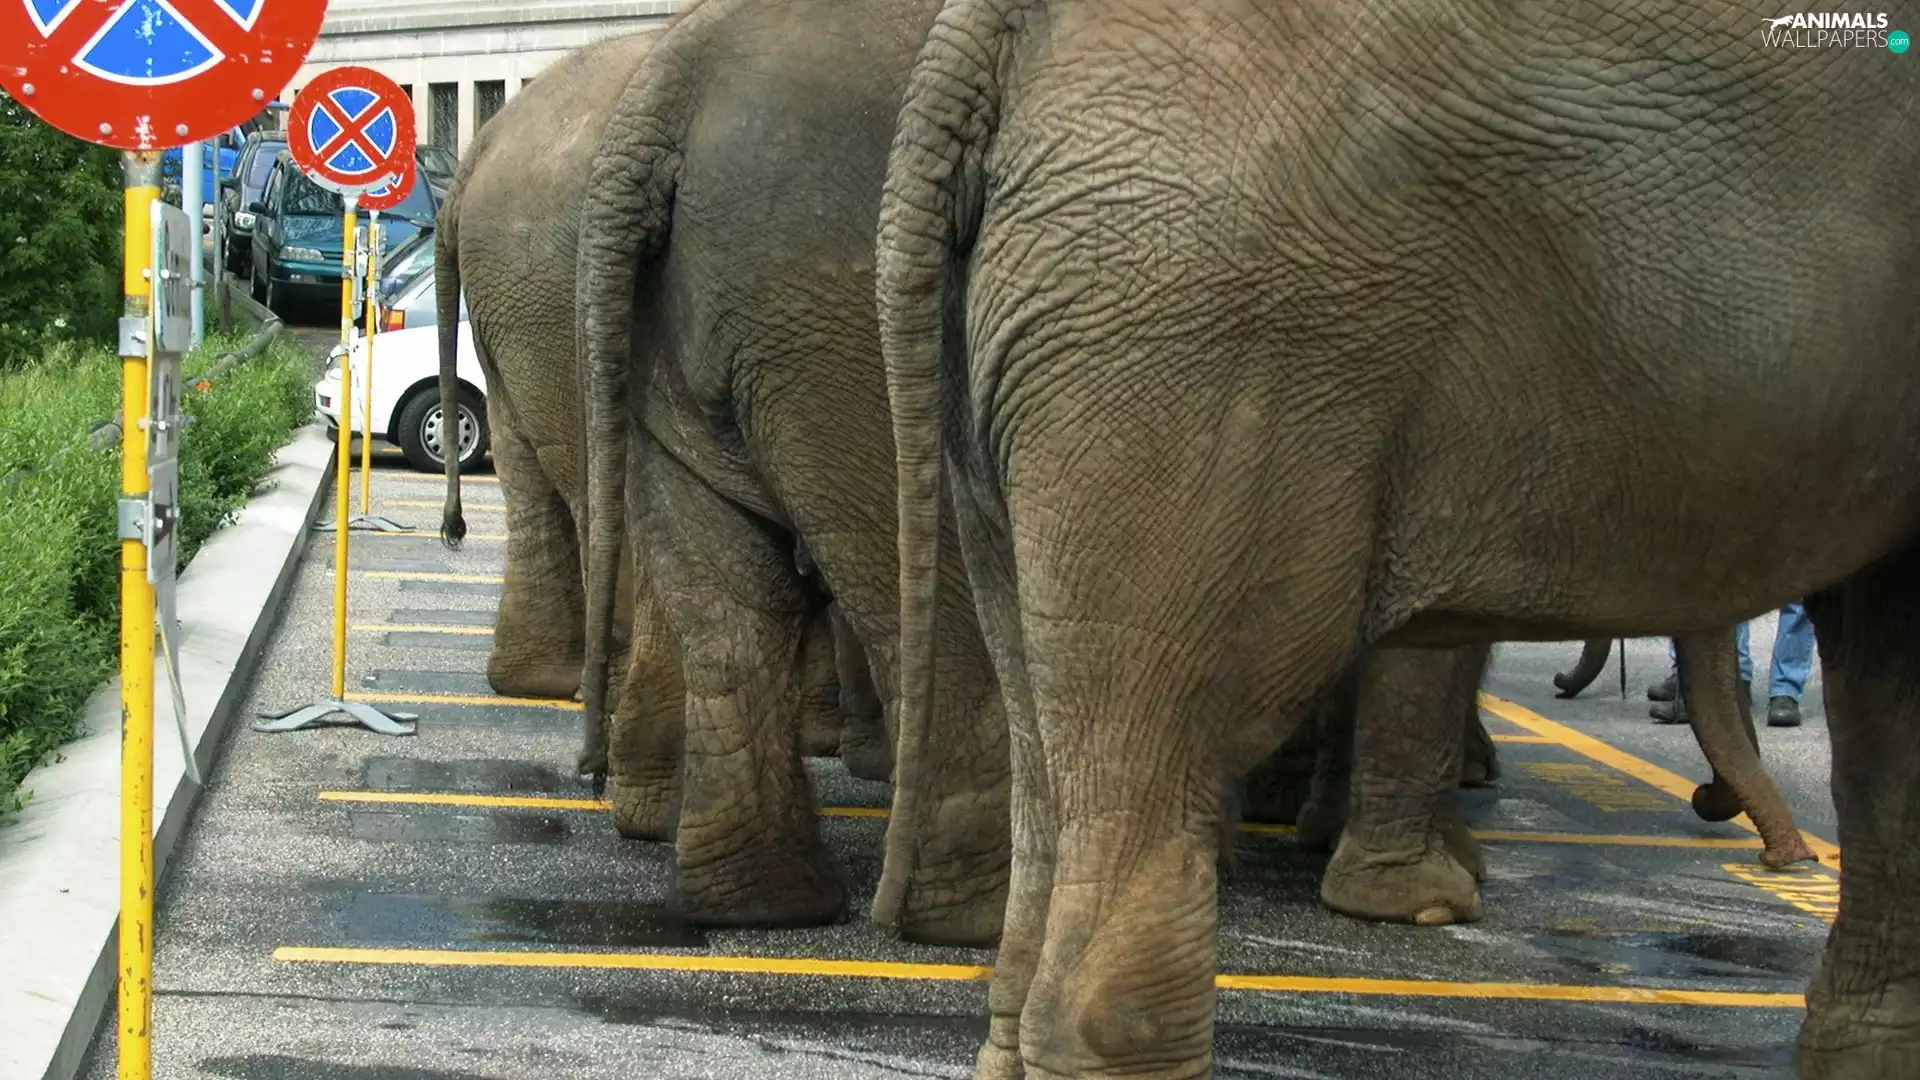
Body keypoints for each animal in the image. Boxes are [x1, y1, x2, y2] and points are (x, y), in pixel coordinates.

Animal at [573, 0, 1009, 944]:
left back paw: (757, 905)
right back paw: (967, 922)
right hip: (840, 337)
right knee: (931, 592)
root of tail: (665, 93)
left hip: (690, 344)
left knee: (730, 605)